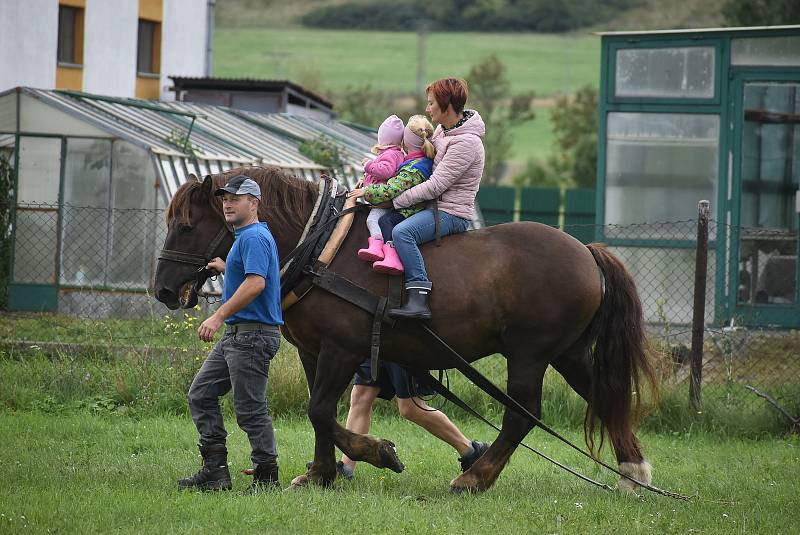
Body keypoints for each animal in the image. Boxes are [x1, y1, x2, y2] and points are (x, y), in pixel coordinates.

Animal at [155, 168, 656, 494]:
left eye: (186, 225)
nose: (162, 288)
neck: (318, 248)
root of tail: (586, 251)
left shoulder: (341, 350)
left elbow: (320, 411)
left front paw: (375, 451)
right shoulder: (314, 352)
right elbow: (320, 413)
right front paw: (320, 474)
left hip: (530, 354)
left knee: (523, 414)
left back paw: (475, 477)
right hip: (568, 353)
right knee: (604, 396)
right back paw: (634, 472)